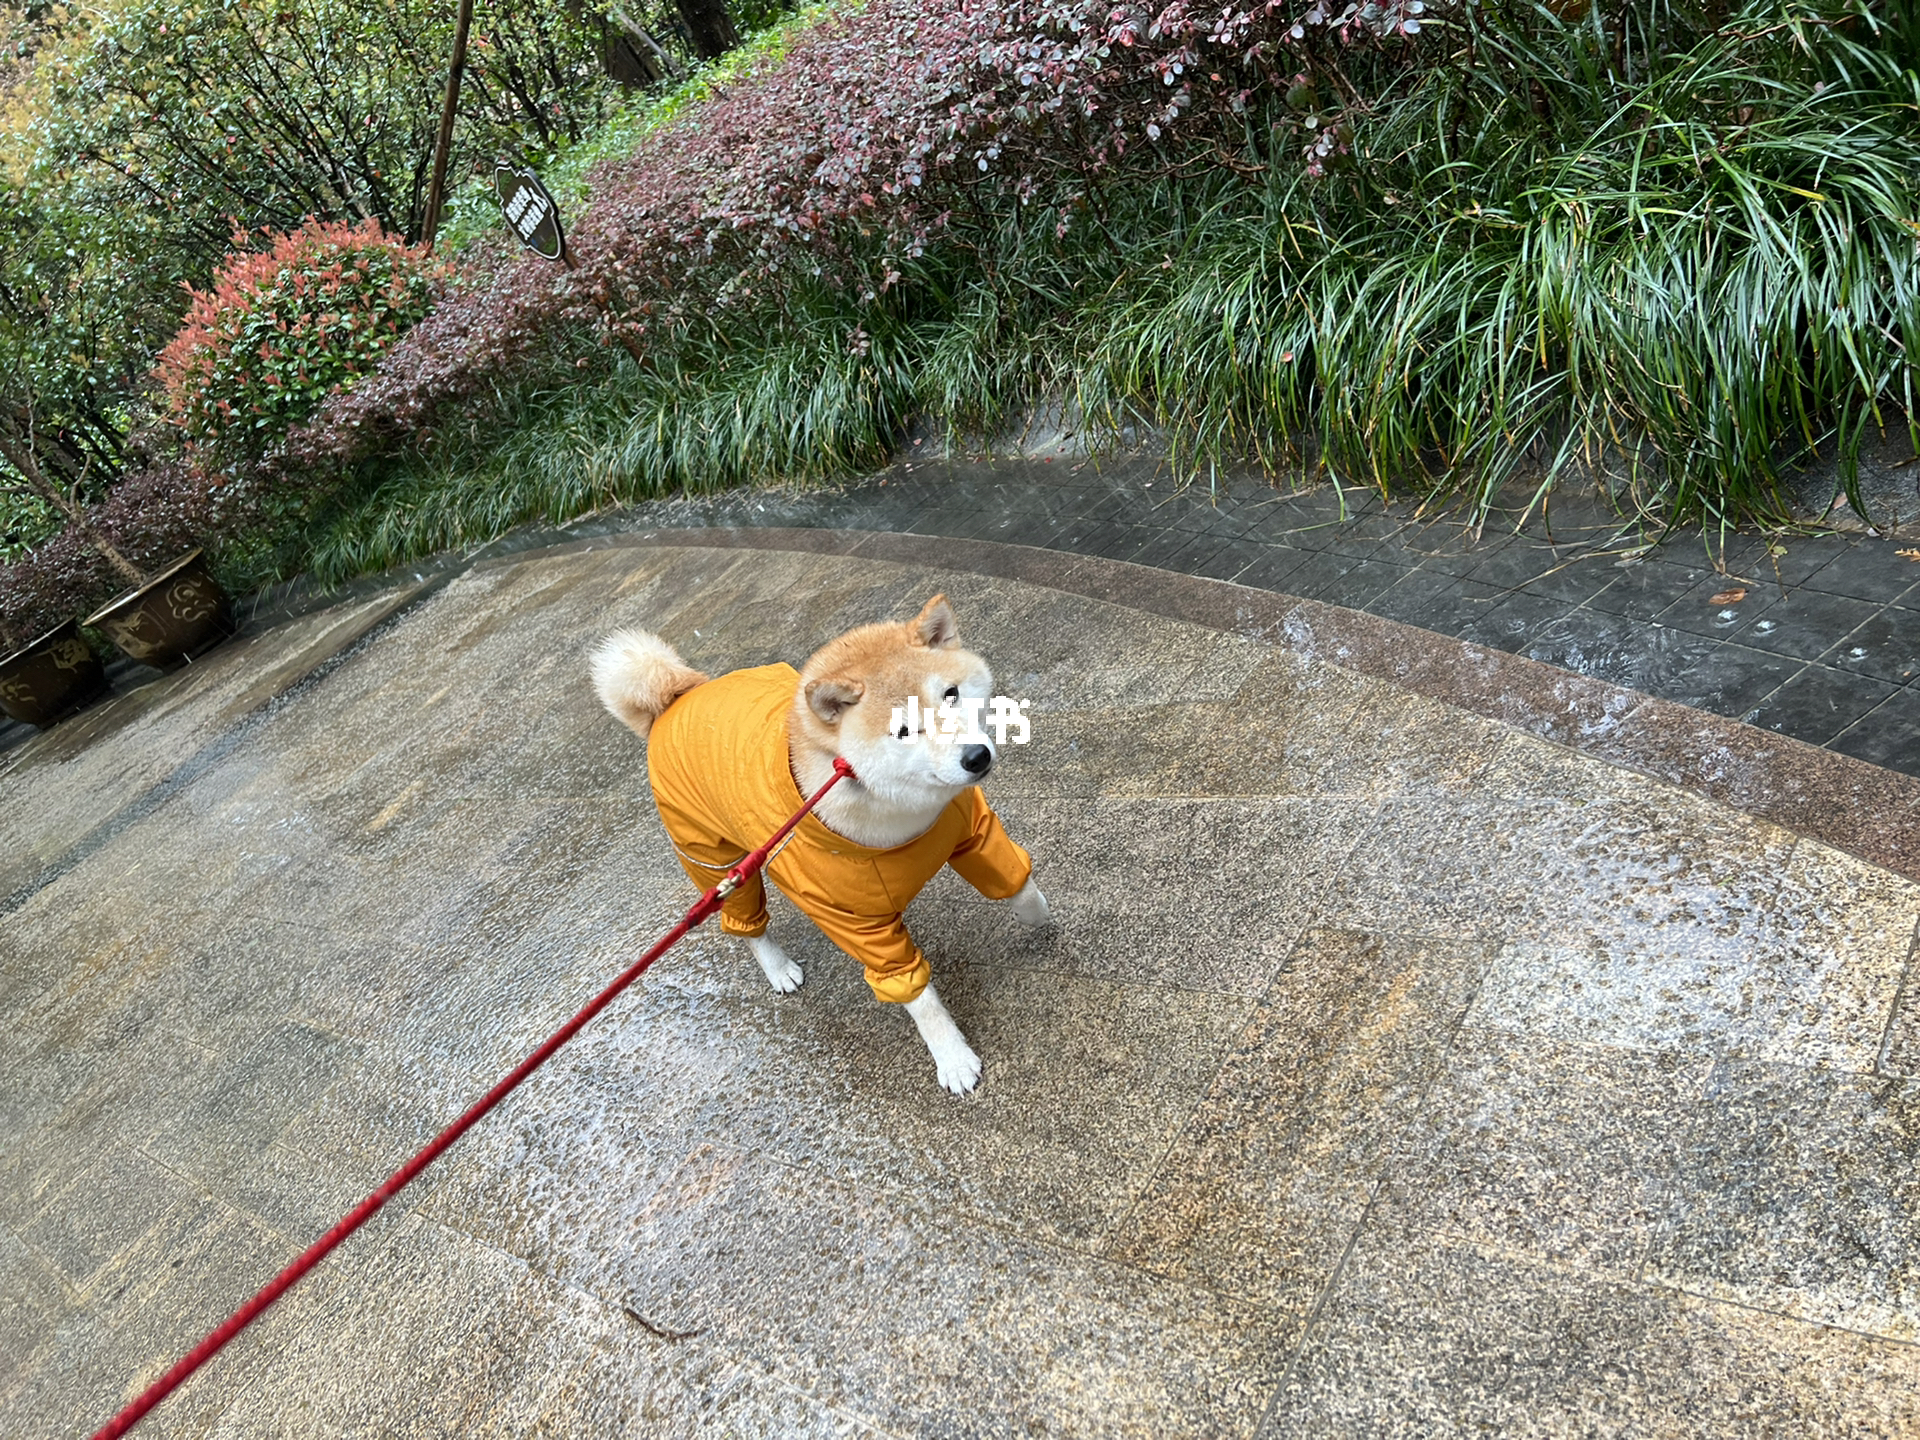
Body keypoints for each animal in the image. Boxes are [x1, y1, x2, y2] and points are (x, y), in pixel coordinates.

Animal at [595, 595, 1059, 1090]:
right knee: (746, 924)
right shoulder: (856, 923)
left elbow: (1018, 884)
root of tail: (673, 701)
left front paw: (1035, 916)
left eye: (951, 694)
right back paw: (777, 968)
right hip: (717, 865)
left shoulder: (971, 831)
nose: (976, 757)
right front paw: (952, 1058)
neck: (902, 818)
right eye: (902, 731)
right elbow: (917, 997)